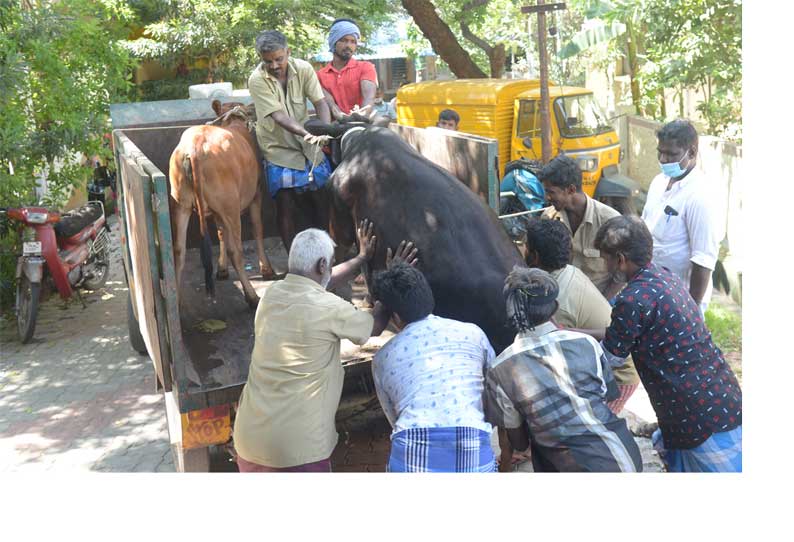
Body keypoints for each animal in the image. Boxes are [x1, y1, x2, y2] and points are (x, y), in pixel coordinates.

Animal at [169, 99, 276, 308]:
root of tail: (194, 146)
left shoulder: (217, 211)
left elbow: (220, 234)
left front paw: (221, 268)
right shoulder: (256, 195)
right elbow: (257, 228)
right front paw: (266, 268)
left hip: (181, 204)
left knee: (178, 251)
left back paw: (177, 301)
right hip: (230, 206)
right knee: (237, 251)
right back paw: (252, 297)